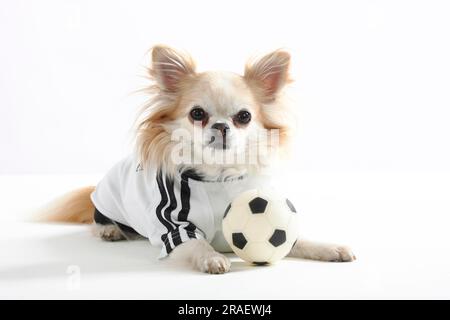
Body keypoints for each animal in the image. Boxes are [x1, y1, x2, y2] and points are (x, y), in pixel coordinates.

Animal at [39, 46, 356, 274]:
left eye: (244, 116)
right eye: (197, 114)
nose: (221, 126)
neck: (218, 176)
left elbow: (298, 240)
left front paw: (330, 248)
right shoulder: (176, 228)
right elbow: (198, 245)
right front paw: (212, 258)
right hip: (107, 201)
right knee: (97, 218)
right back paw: (109, 229)